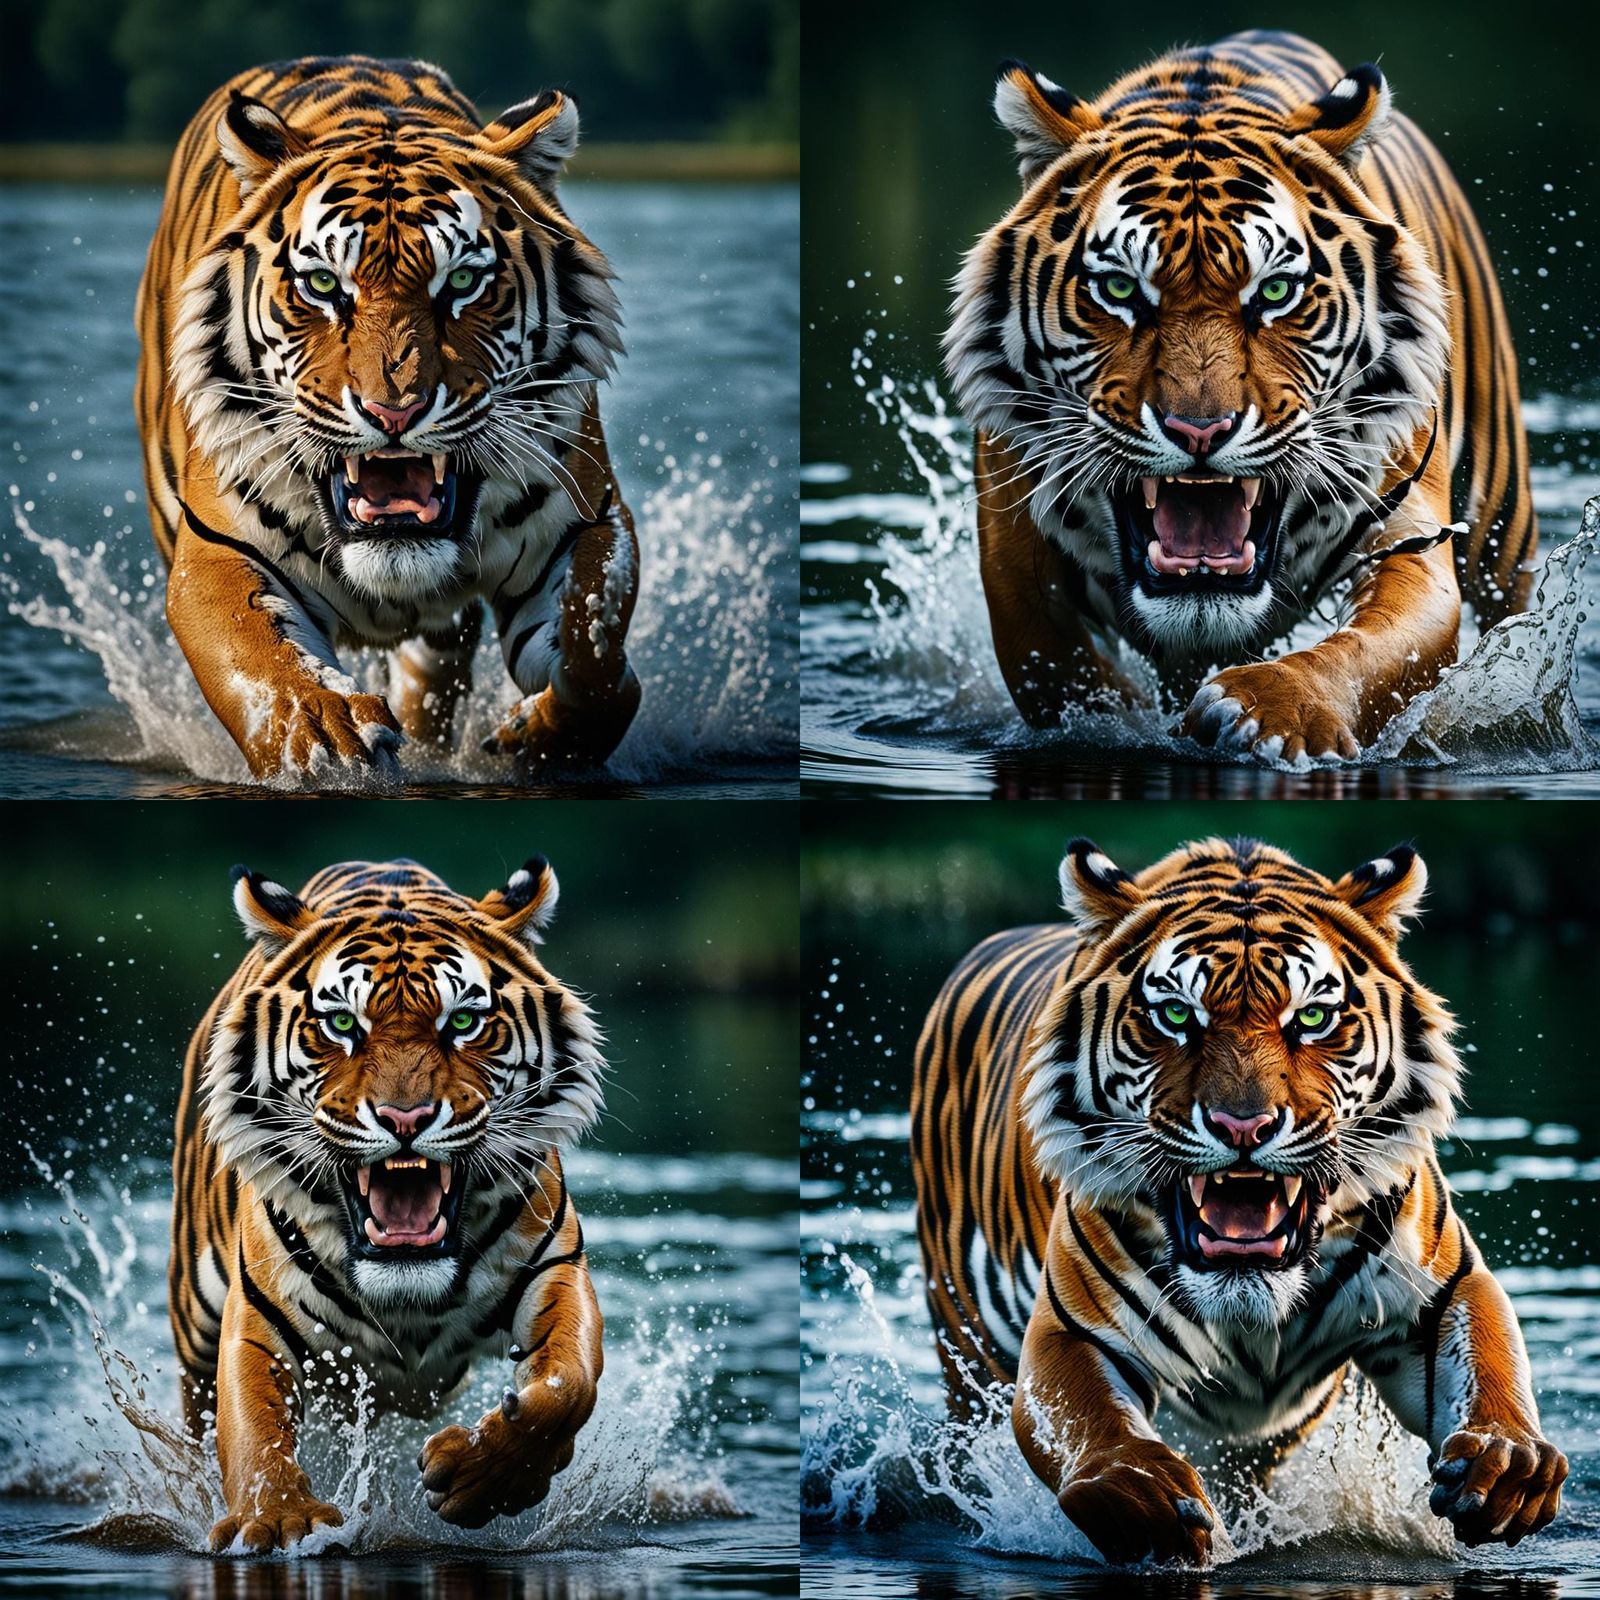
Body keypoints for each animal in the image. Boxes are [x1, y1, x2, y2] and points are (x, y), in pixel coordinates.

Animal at [136, 57, 639, 781]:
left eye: (462, 283)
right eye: (323, 285)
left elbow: (594, 659)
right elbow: (261, 661)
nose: (393, 410)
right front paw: (327, 737)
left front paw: (533, 738)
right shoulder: (215, 547)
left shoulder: (587, 519)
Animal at [169, 854, 606, 1551]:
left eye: (463, 1022)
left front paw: (480, 1478)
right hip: (195, 1321)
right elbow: (255, 1429)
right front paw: (280, 1521)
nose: (406, 1118)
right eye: (343, 1024)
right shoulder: (255, 1315)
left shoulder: (555, 1268)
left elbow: (569, 1385)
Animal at [911, 836, 1566, 1566]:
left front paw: (1506, 1467)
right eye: (1176, 1015)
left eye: (1312, 1017)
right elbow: (1090, 1426)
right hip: (963, 1344)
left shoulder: (1442, 1288)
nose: (1244, 1126)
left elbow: (1490, 1365)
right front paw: (1150, 1502)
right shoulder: (1075, 1327)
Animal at [943, 32, 1536, 765]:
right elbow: (1048, 664)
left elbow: (1373, 651)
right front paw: (1129, 723)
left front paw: (1272, 710)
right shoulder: (1013, 548)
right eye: (1119, 288)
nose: (1199, 431)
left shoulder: (1409, 537)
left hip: (1503, 535)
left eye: (1275, 291)